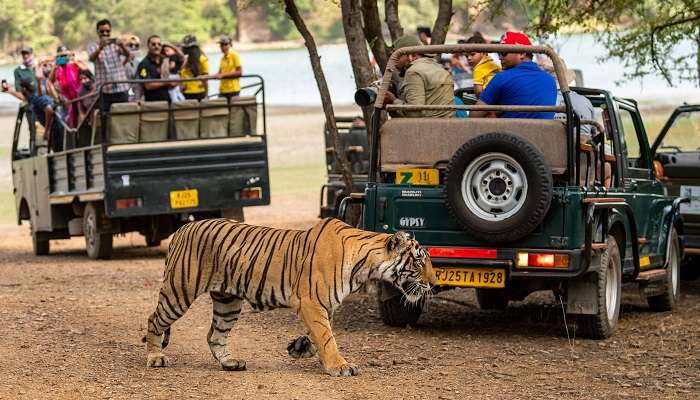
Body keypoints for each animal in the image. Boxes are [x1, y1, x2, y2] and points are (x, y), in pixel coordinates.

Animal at [145, 217, 434, 376]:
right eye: (419, 261)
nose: (433, 283)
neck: (365, 266)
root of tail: (183, 228)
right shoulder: (311, 302)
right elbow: (327, 336)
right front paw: (339, 365)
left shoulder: (325, 305)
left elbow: (320, 334)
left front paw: (300, 348)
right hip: (179, 291)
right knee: (154, 320)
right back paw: (155, 357)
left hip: (228, 302)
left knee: (214, 335)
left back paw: (230, 363)